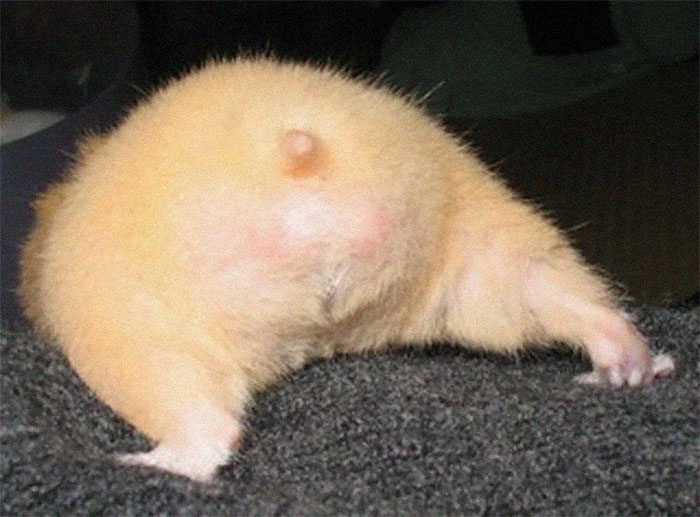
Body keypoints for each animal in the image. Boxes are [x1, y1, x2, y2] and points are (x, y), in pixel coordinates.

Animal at [19, 57, 674, 482]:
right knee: (572, 302)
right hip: (481, 240)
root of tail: (298, 153)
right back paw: (634, 367)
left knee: (208, 432)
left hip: (125, 327)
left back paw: (140, 463)